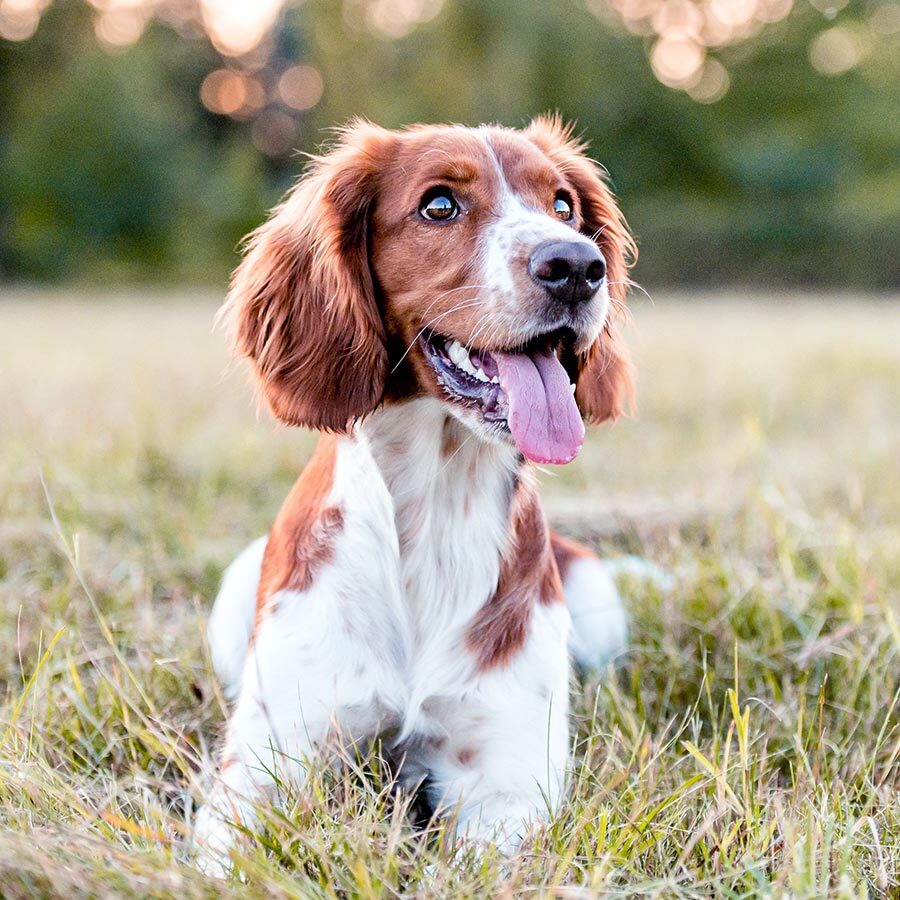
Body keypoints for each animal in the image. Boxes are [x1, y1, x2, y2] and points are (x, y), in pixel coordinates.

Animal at [197, 114, 632, 872]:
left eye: (563, 206)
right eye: (439, 205)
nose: (577, 266)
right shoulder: (262, 767)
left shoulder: (506, 784)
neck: (437, 506)